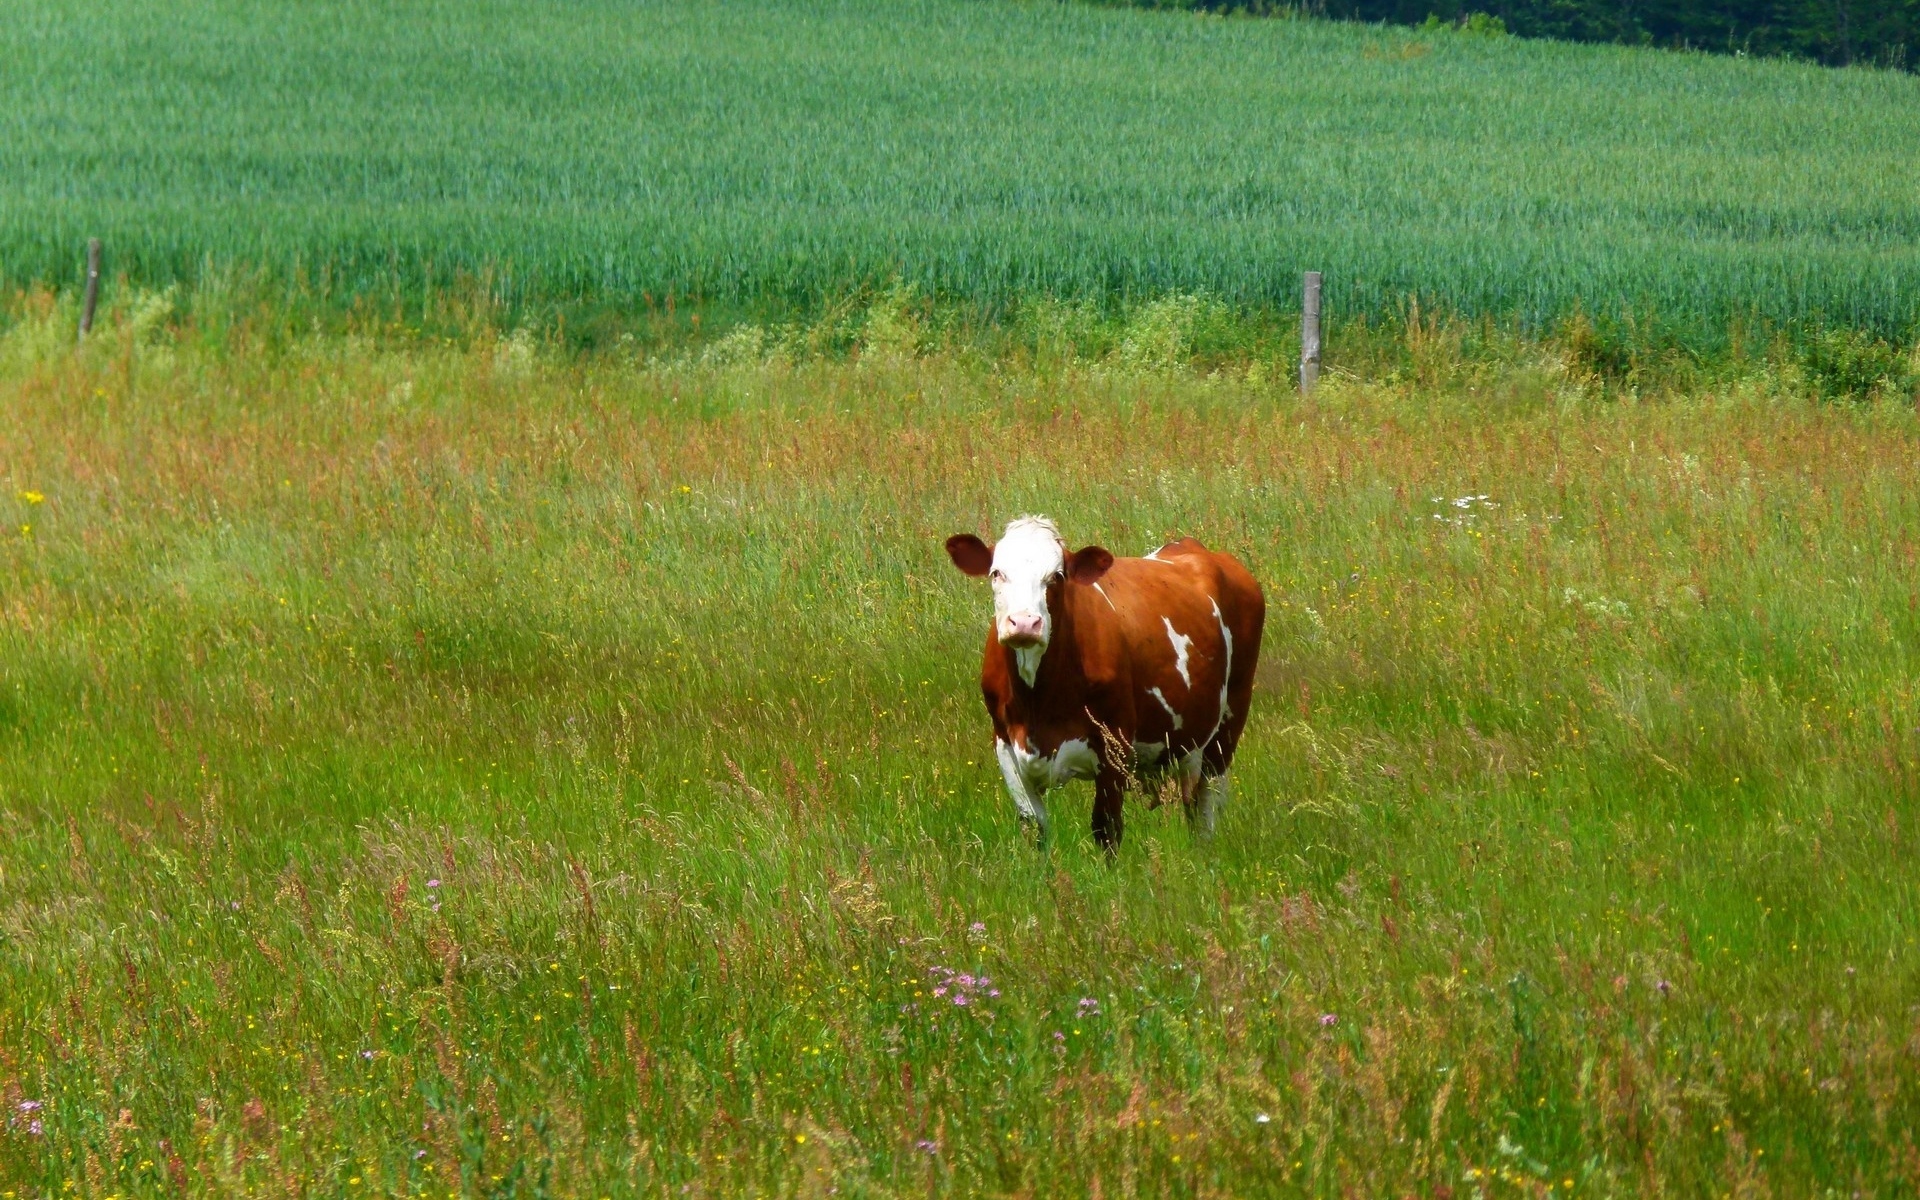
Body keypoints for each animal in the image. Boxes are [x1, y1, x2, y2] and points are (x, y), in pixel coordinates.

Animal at [945, 516, 1264, 854]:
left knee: (1206, 804)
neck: (1037, 705)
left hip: (1229, 720)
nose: (1024, 623)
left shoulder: (1115, 745)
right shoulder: (1006, 745)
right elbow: (1035, 829)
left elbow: (1107, 829)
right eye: (997, 573)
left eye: (1057, 576)